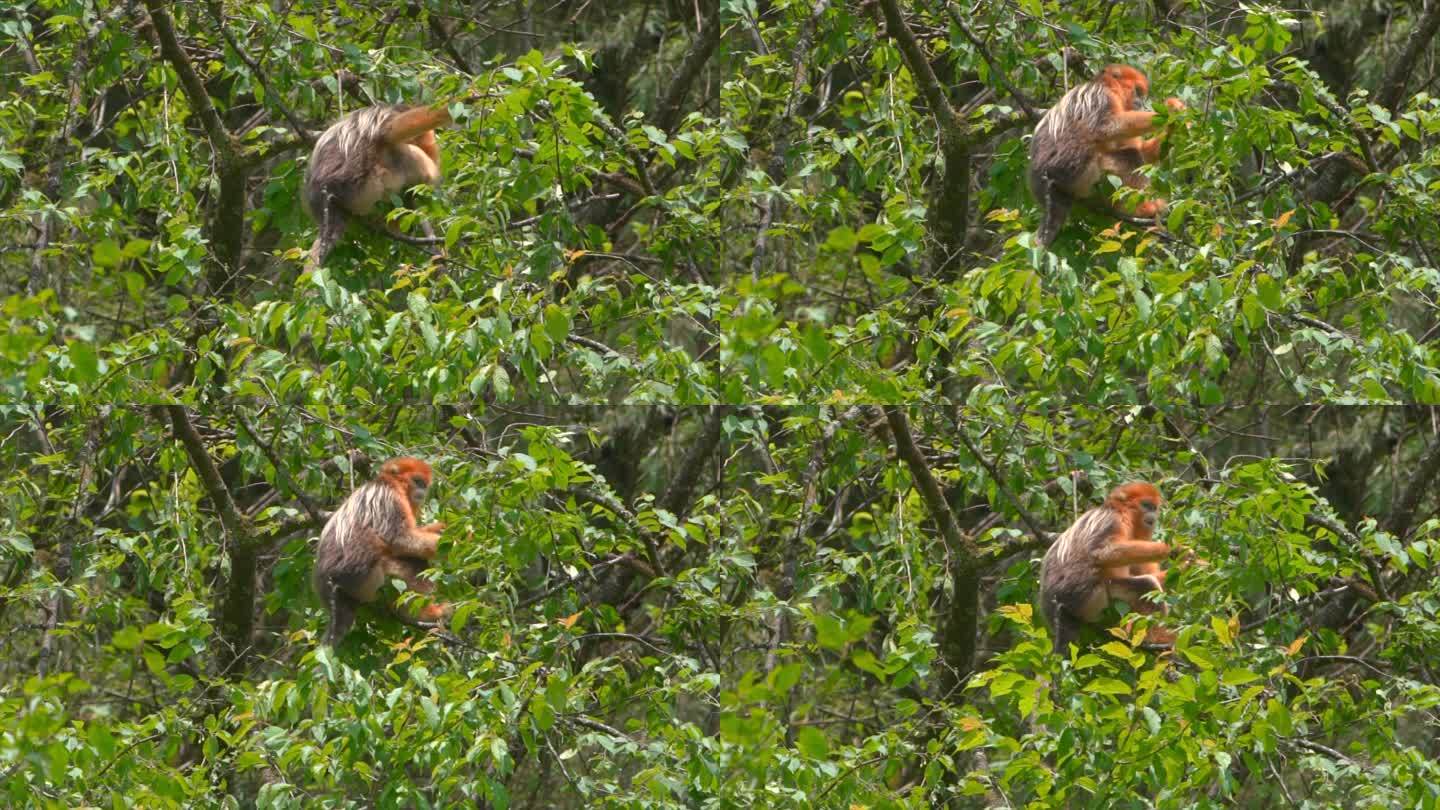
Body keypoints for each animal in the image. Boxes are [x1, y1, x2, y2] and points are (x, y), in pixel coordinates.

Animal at [313, 458, 449, 639]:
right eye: (417, 481)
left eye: (424, 485)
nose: (422, 491)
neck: (391, 484)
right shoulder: (389, 497)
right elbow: (400, 539)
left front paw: (445, 528)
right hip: (359, 576)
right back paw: (428, 614)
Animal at [1031, 64, 1186, 246]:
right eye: (1137, 92)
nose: (1141, 103)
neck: (1107, 86)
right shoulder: (1101, 97)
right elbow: (1109, 127)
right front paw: (1169, 112)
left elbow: (1143, 151)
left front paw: (1173, 125)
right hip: (1080, 172)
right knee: (1130, 156)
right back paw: (1140, 209)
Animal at [1036, 481, 1180, 651]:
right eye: (1146, 505)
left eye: (1154, 508)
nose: (1153, 516)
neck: (1118, 510)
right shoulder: (1113, 520)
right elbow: (1102, 552)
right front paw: (1171, 548)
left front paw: (1185, 563)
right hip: (1091, 598)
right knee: (1146, 584)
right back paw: (1158, 639)